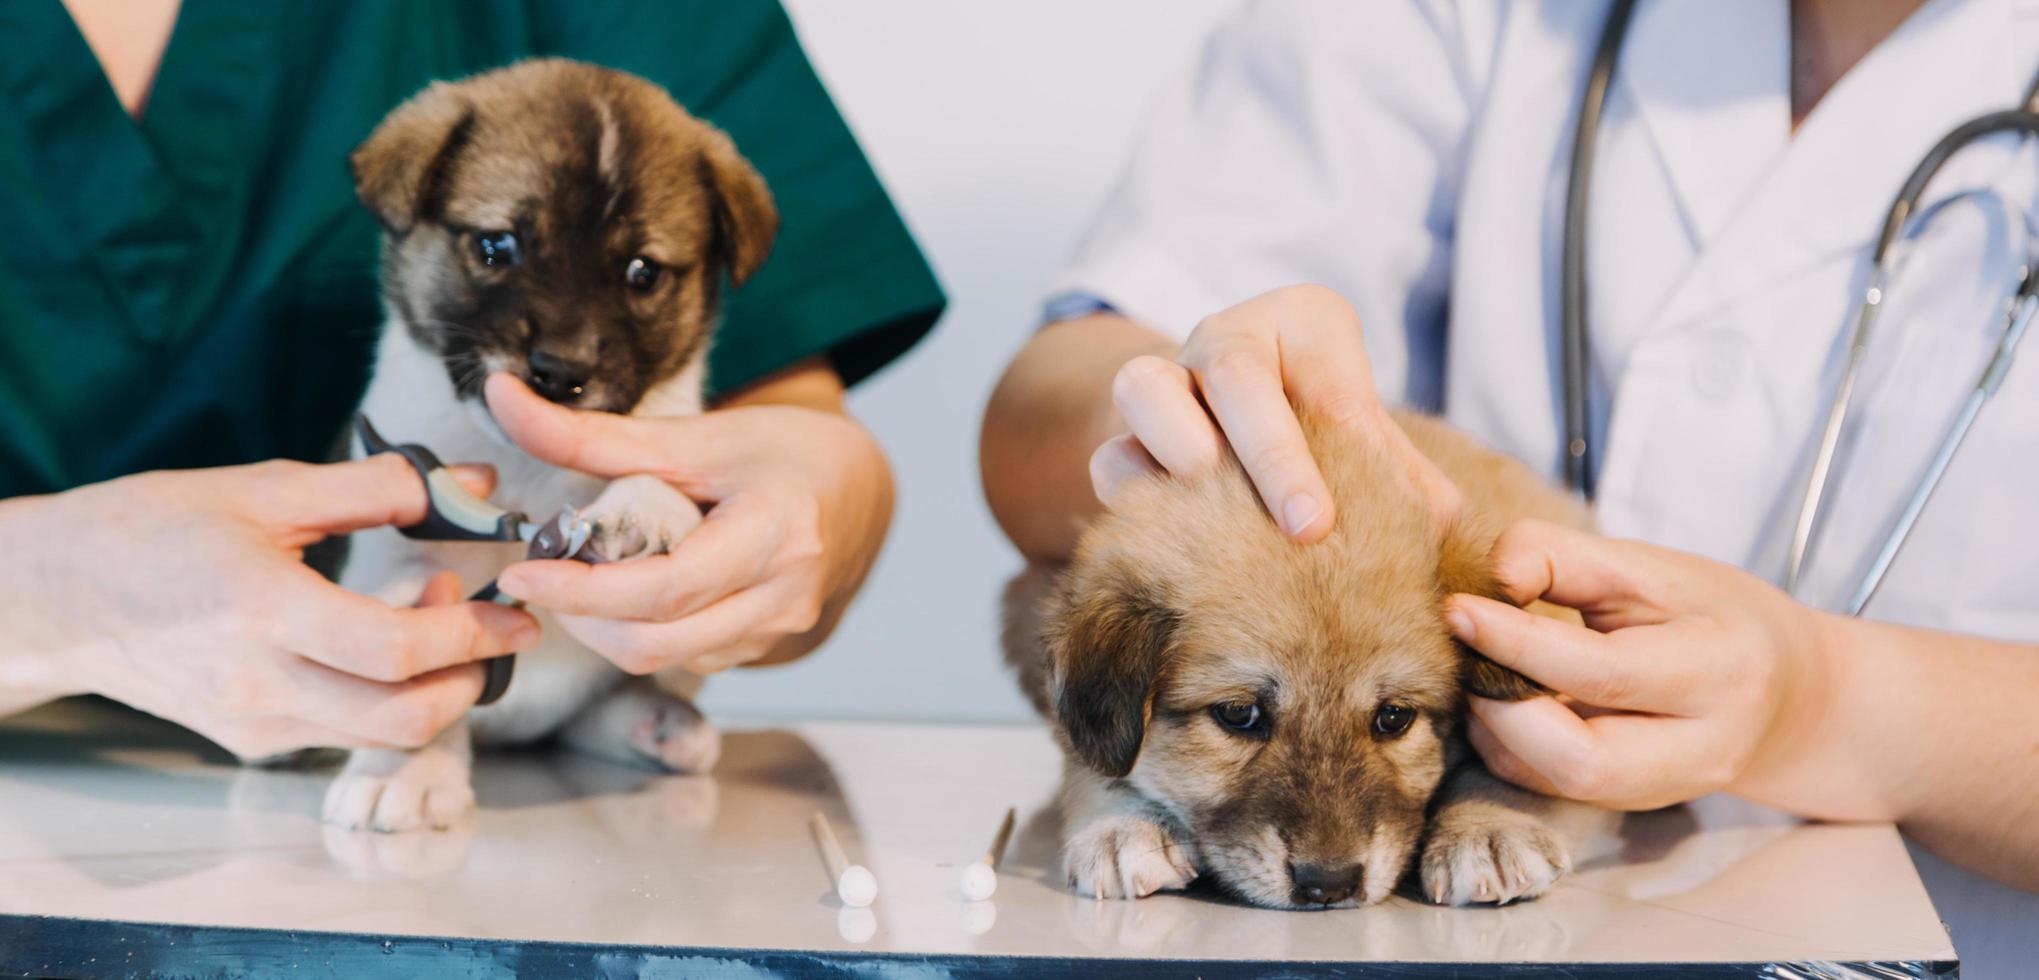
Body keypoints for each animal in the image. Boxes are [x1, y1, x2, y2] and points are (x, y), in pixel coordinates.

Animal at [326, 57, 778, 827]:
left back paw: (656, 723)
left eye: (642, 271)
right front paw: (405, 767)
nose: (561, 373)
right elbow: (418, 688)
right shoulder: (402, 574)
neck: (525, 466)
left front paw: (643, 509)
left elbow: (652, 454)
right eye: (495, 246)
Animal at [1003, 409, 1606, 904]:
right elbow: (1096, 767)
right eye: (1237, 715)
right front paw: (1122, 829)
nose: (1329, 884)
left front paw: (1492, 827)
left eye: (1395, 717)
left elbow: (1514, 770)